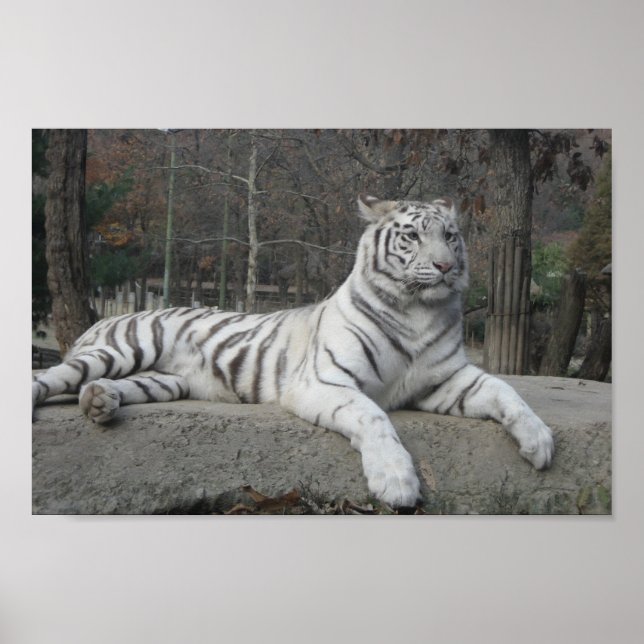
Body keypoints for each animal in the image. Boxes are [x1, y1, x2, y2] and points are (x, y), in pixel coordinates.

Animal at [32, 194, 554, 508]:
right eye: (412, 236)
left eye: (450, 235)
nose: (446, 267)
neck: (417, 311)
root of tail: (103, 317)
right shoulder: (325, 380)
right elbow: (373, 416)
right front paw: (396, 481)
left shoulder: (447, 380)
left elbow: (507, 392)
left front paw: (540, 442)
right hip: (123, 350)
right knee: (49, 378)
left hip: (163, 380)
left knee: (106, 388)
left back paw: (99, 402)